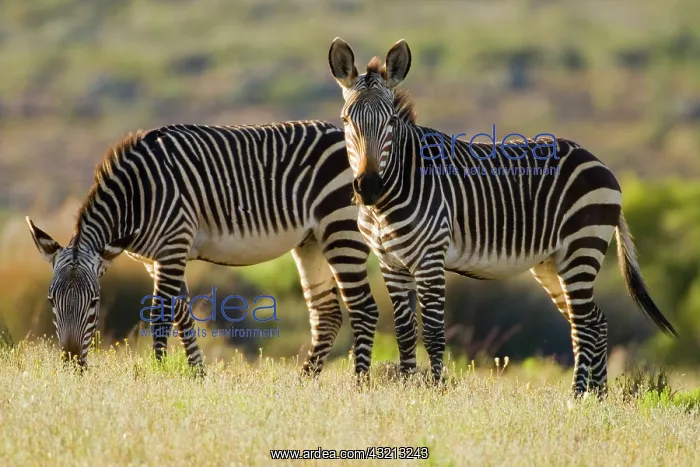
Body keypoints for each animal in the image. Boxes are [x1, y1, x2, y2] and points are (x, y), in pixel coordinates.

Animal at [26, 120, 382, 377]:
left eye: (95, 302)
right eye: (51, 301)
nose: (72, 364)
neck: (137, 196)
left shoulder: (173, 245)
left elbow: (160, 316)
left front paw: (158, 374)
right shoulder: (157, 259)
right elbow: (183, 315)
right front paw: (197, 375)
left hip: (341, 227)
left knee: (364, 309)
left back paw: (358, 385)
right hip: (311, 242)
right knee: (328, 314)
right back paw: (304, 383)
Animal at [326, 37, 677, 397]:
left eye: (391, 123)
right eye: (345, 120)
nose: (368, 187)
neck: (389, 197)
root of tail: (600, 163)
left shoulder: (429, 259)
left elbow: (434, 334)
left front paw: (435, 391)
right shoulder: (390, 264)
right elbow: (404, 332)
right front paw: (408, 388)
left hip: (582, 248)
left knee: (584, 325)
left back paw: (577, 396)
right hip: (553, 263)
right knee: (596, 321)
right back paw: (598, 396)